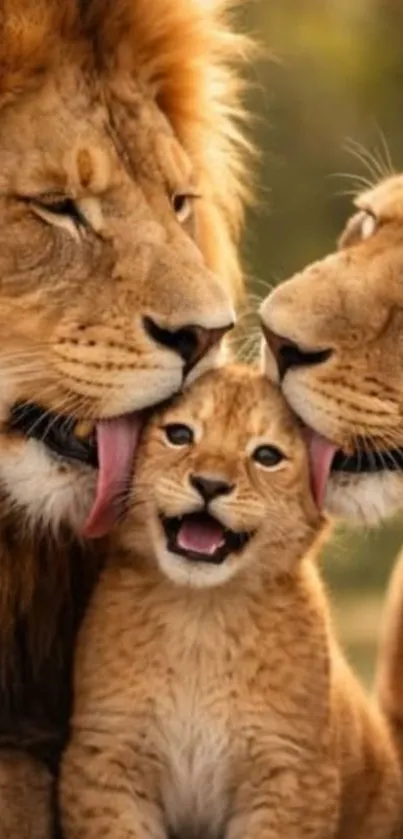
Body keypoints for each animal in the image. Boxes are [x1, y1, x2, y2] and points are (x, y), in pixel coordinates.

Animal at [59, 364, 402, 839]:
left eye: (267, 456)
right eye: (179, 435)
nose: (210, 485)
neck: (201, 613)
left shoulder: (290, 775)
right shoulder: (106, 758)